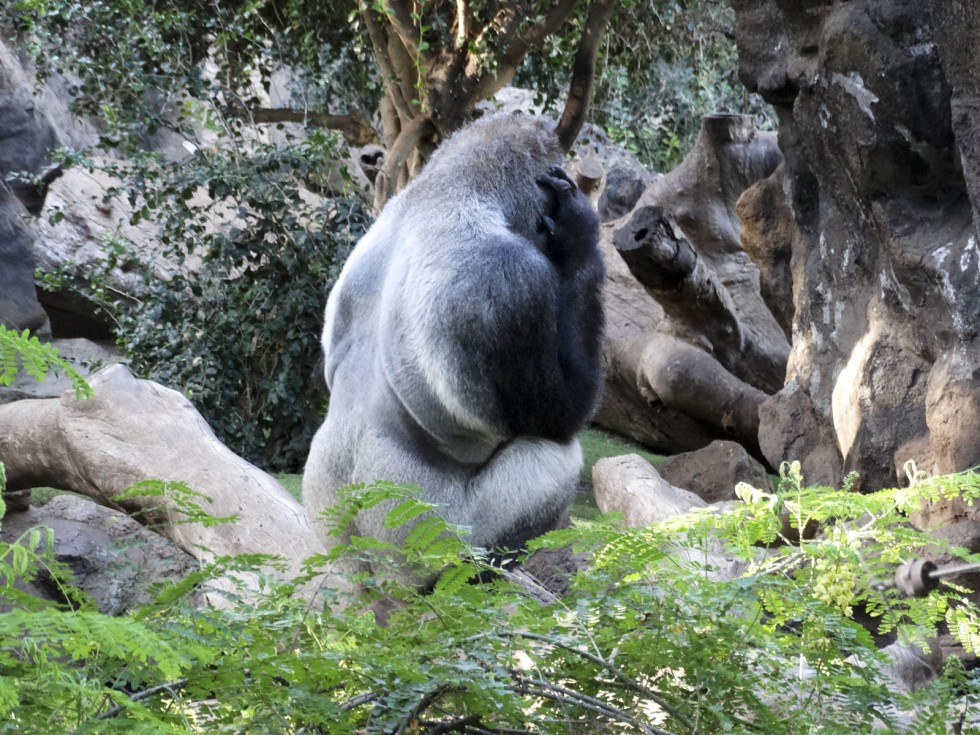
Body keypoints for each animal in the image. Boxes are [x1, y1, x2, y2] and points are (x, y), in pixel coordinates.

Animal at [302, 115, 604, 588]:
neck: (445, 190)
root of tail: (380, 578)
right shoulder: (515, 277)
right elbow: (561, 413)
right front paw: (578, 232)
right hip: (437, 554)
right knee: (554, 455)